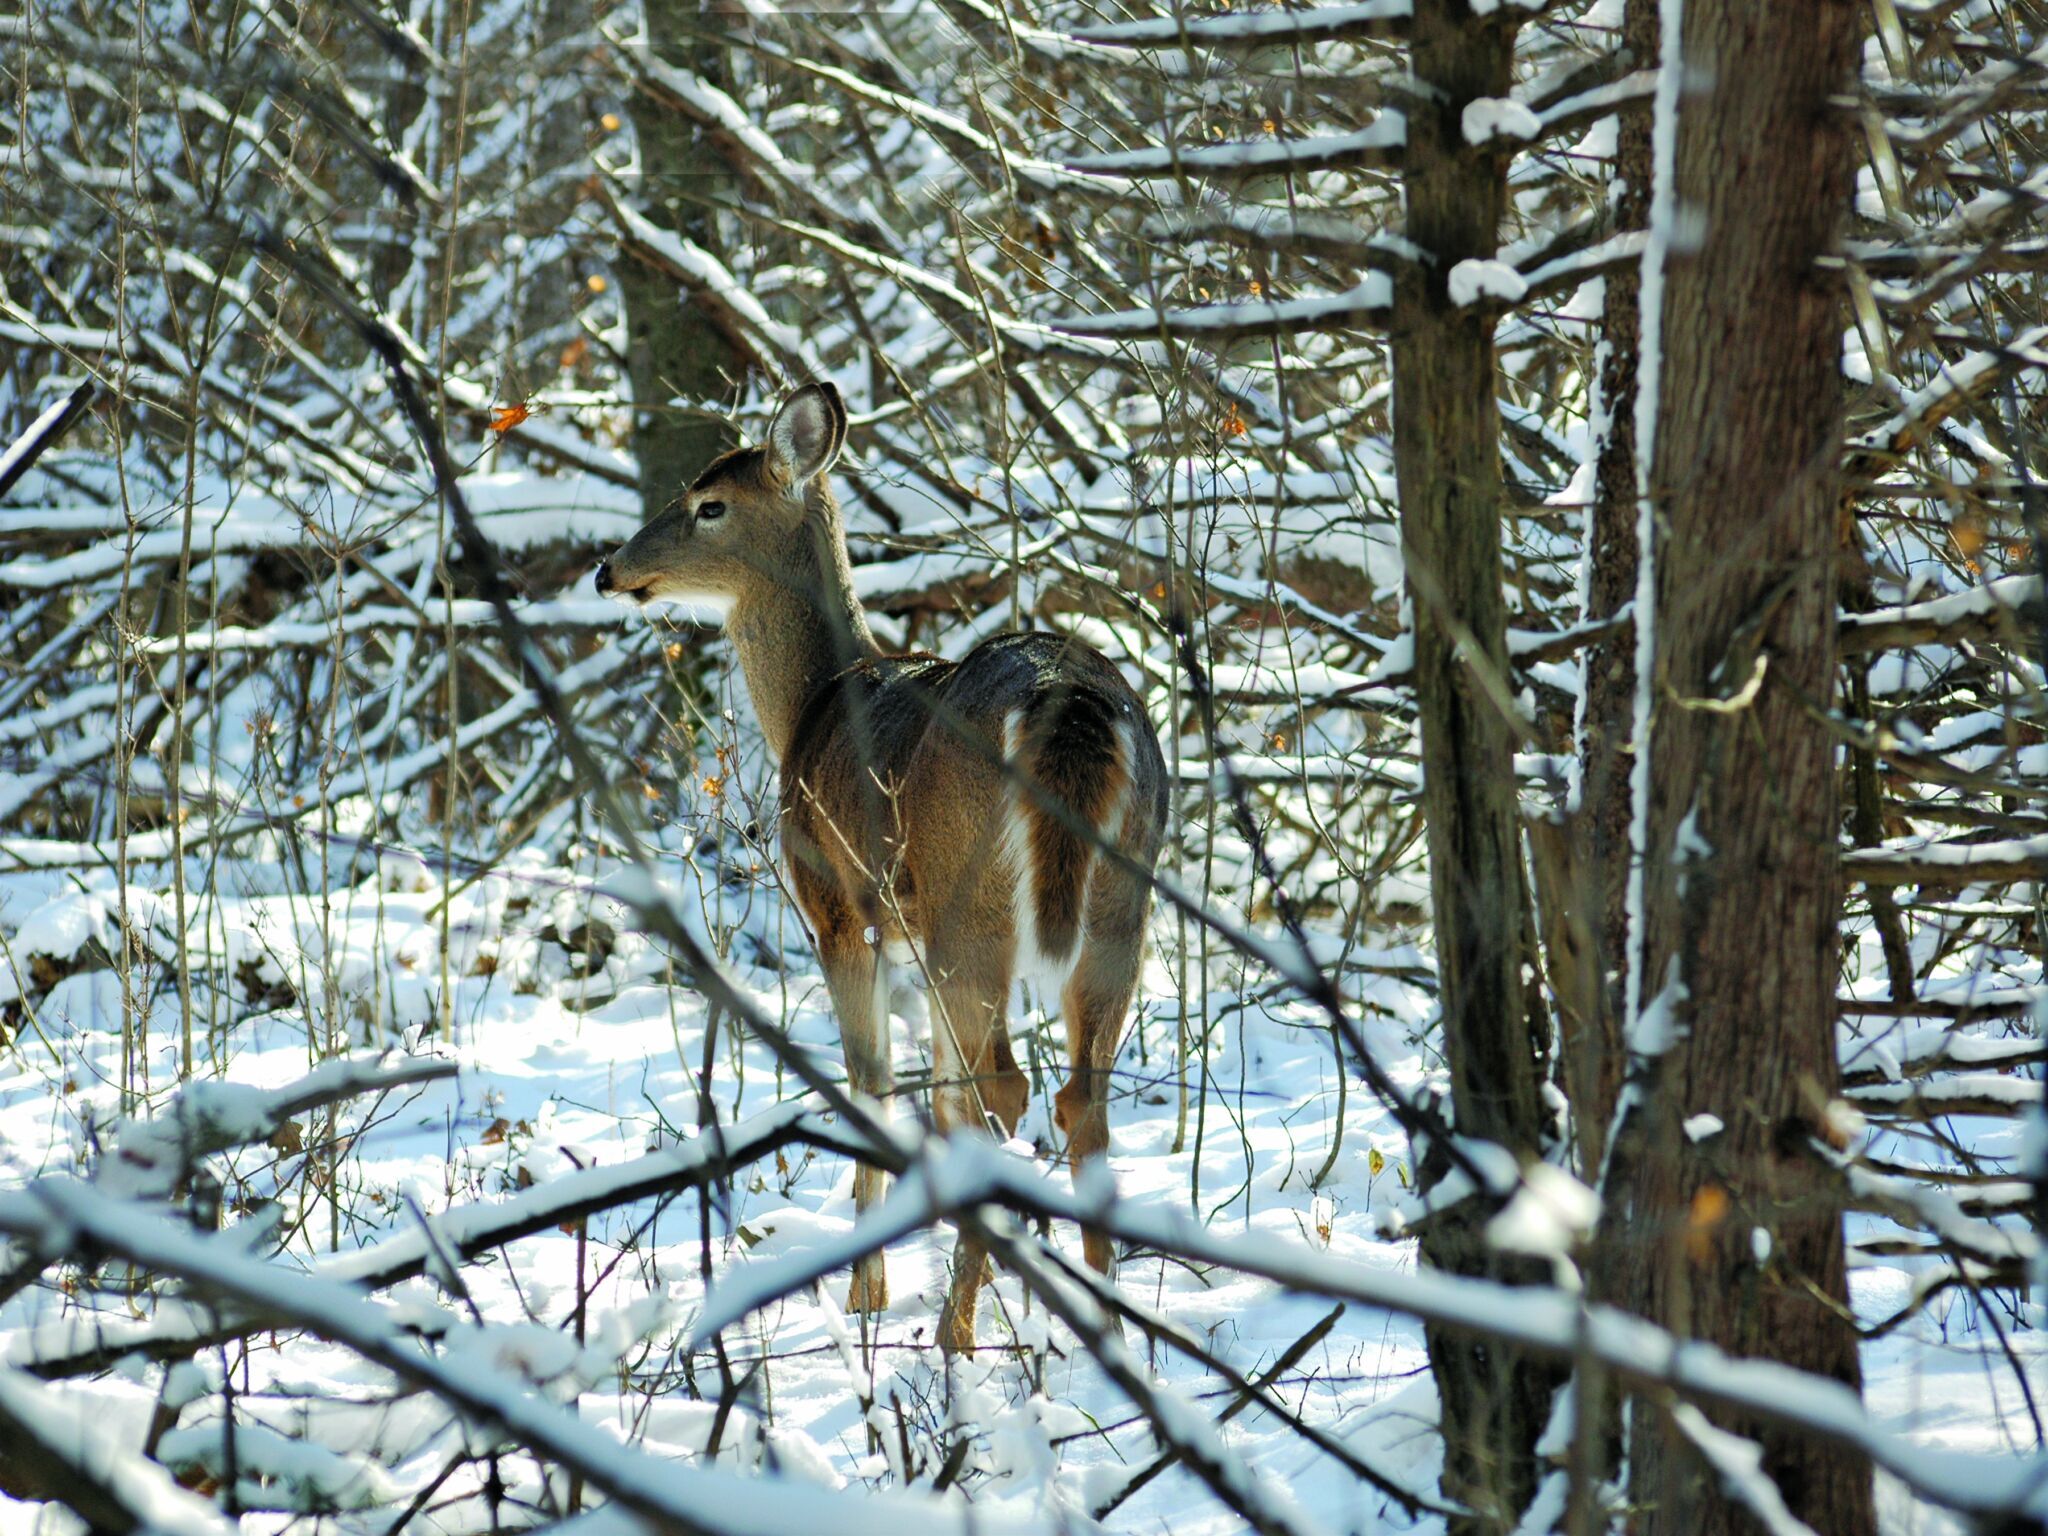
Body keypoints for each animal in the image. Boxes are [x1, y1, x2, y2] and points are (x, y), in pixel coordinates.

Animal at [595, 383, 1168, 1353]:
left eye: (709, 503)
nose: (608, 570)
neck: (810, 705)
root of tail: (1073, 702)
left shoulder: (837, 907)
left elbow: (871, 1086)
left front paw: (865, 1292)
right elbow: (932, 1093)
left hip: (968, 902)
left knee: (1006, 1089)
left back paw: (956, 1332)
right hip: (1121, 904)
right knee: (1076, 1100)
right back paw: (1107, 1330)